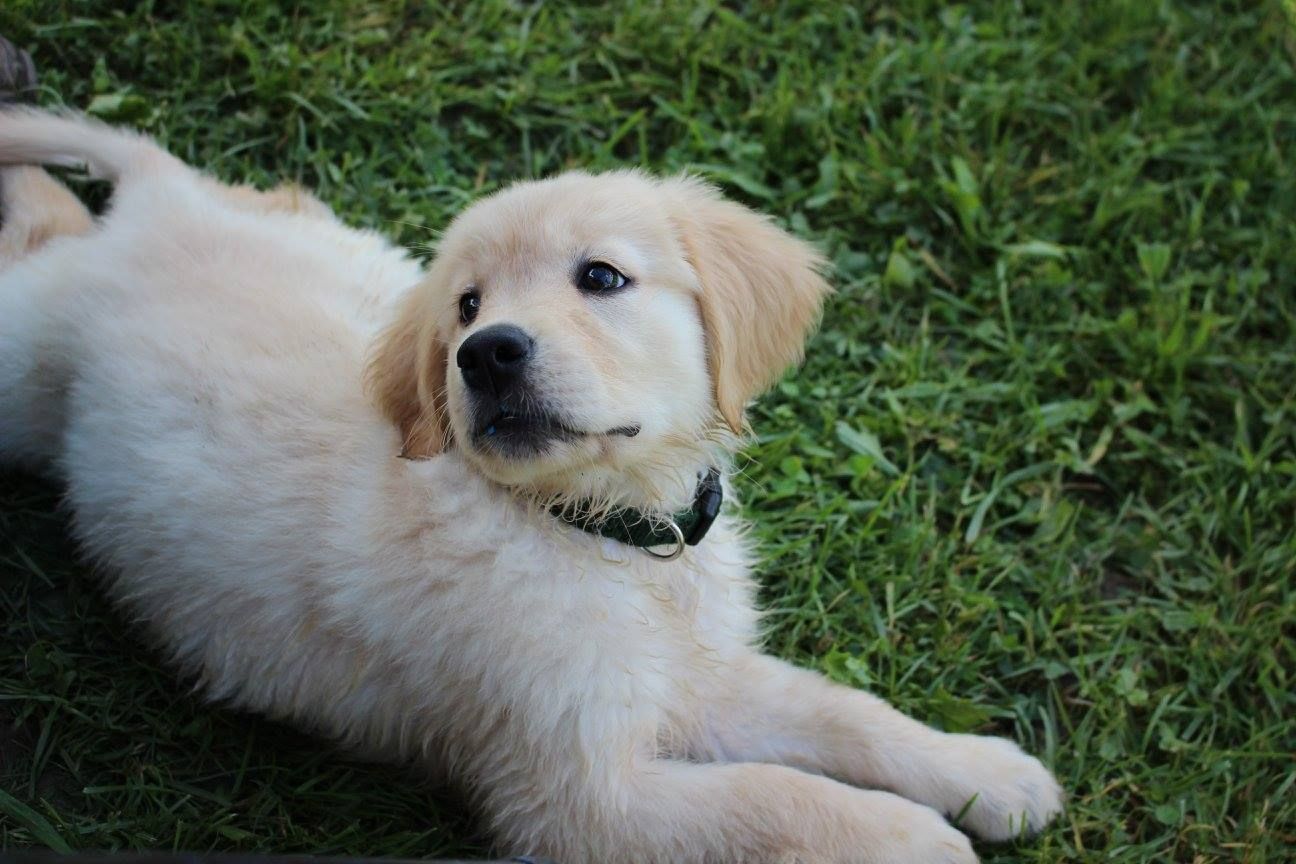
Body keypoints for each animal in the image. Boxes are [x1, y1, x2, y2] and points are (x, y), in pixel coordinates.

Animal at [0, 111, 1062, 860]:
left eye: (601, 277)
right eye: (467, 306)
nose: (486, 353)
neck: (598, 533)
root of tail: (157, 207)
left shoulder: (694, 682)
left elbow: (839, 712)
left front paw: (986, 775)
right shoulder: (574, 794)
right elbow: (779, 798)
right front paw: (912, 839)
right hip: (20, 371)